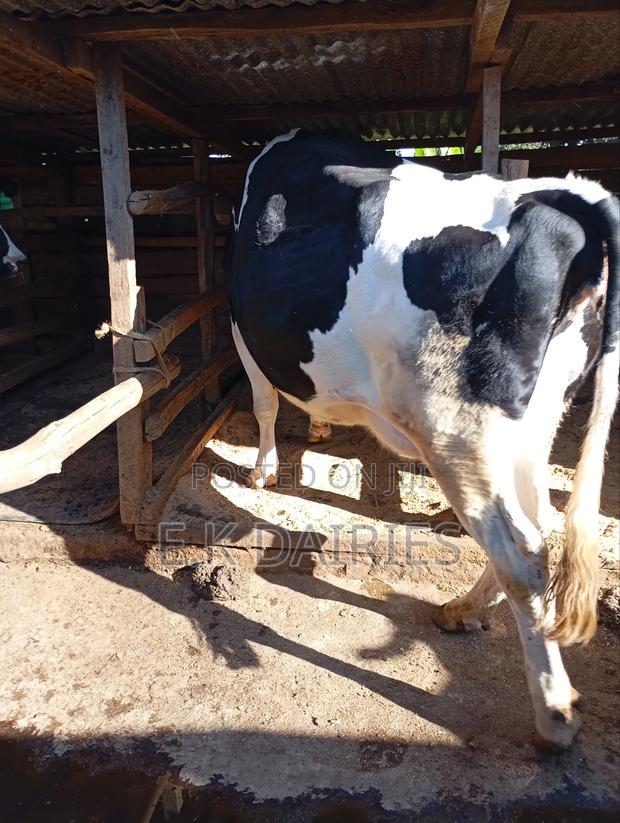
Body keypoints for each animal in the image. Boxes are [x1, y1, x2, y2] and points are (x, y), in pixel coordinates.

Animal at [226, 130, 619, 751]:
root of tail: (569, 194)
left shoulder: (241, 326)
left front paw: (262, 470)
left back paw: (554, 714)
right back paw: (464, 609)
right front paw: (316, 430)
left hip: (457, 431)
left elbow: (265, 401)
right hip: (537, 416)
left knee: (521, 549)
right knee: (538, 524)